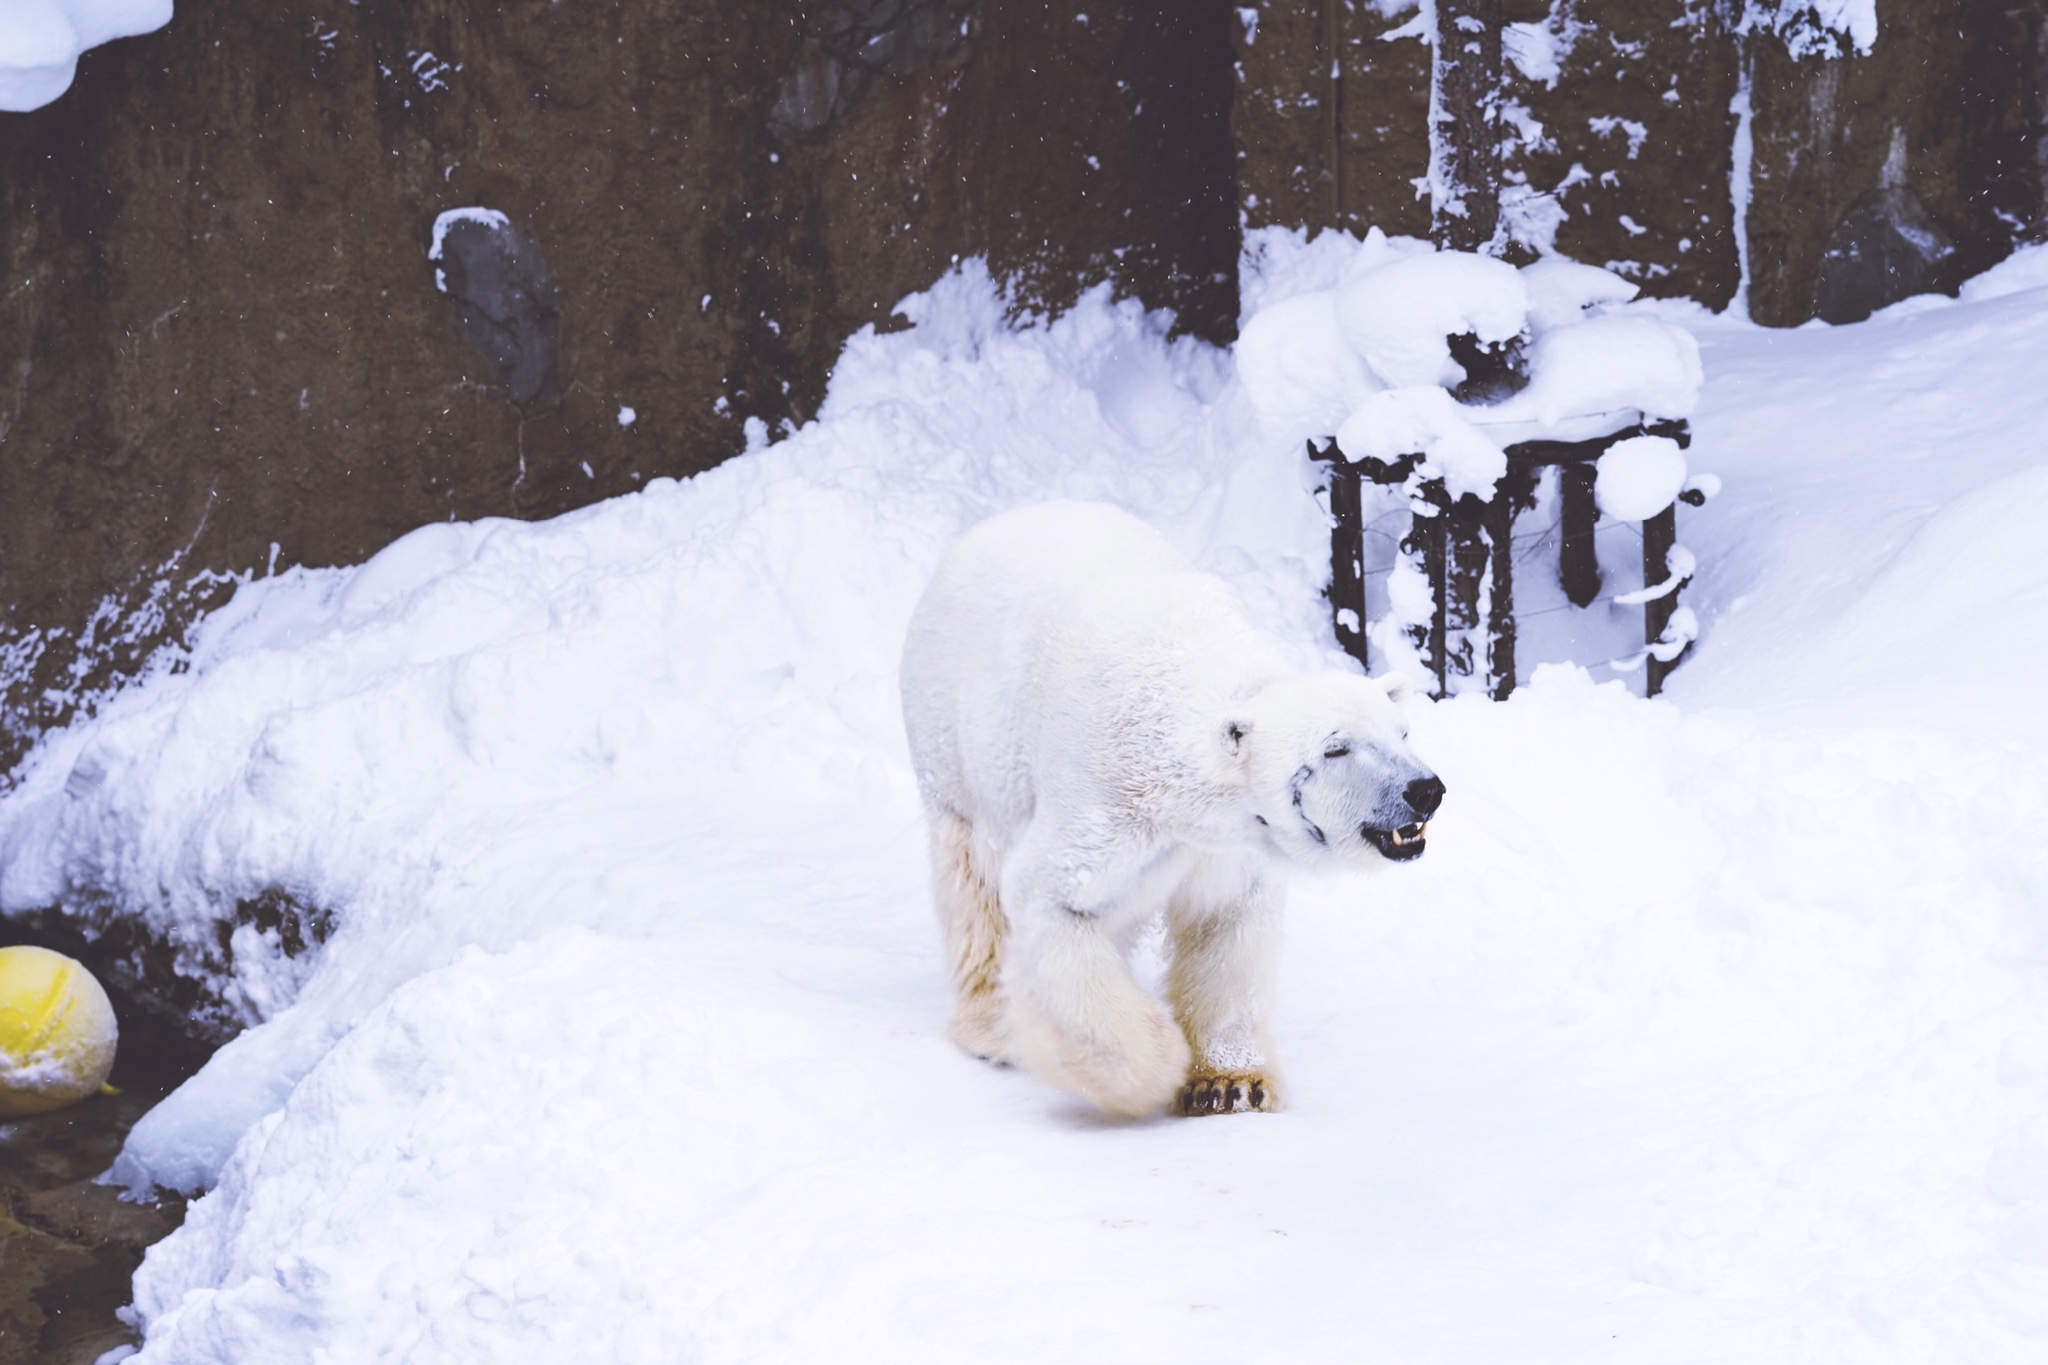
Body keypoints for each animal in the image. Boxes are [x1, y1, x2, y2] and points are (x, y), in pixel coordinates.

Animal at [897, 501, 1441, 1121]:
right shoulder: (1104, 805)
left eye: (1402, 732)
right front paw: (1155, 1068)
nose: (1425, 790)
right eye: (1335, 748)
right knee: (973, 879)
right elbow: (1052, 900)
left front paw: (1230, 1084)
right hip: (952, 732)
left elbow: (1227, 927)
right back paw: (991, 1027)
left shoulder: (1224, 848)